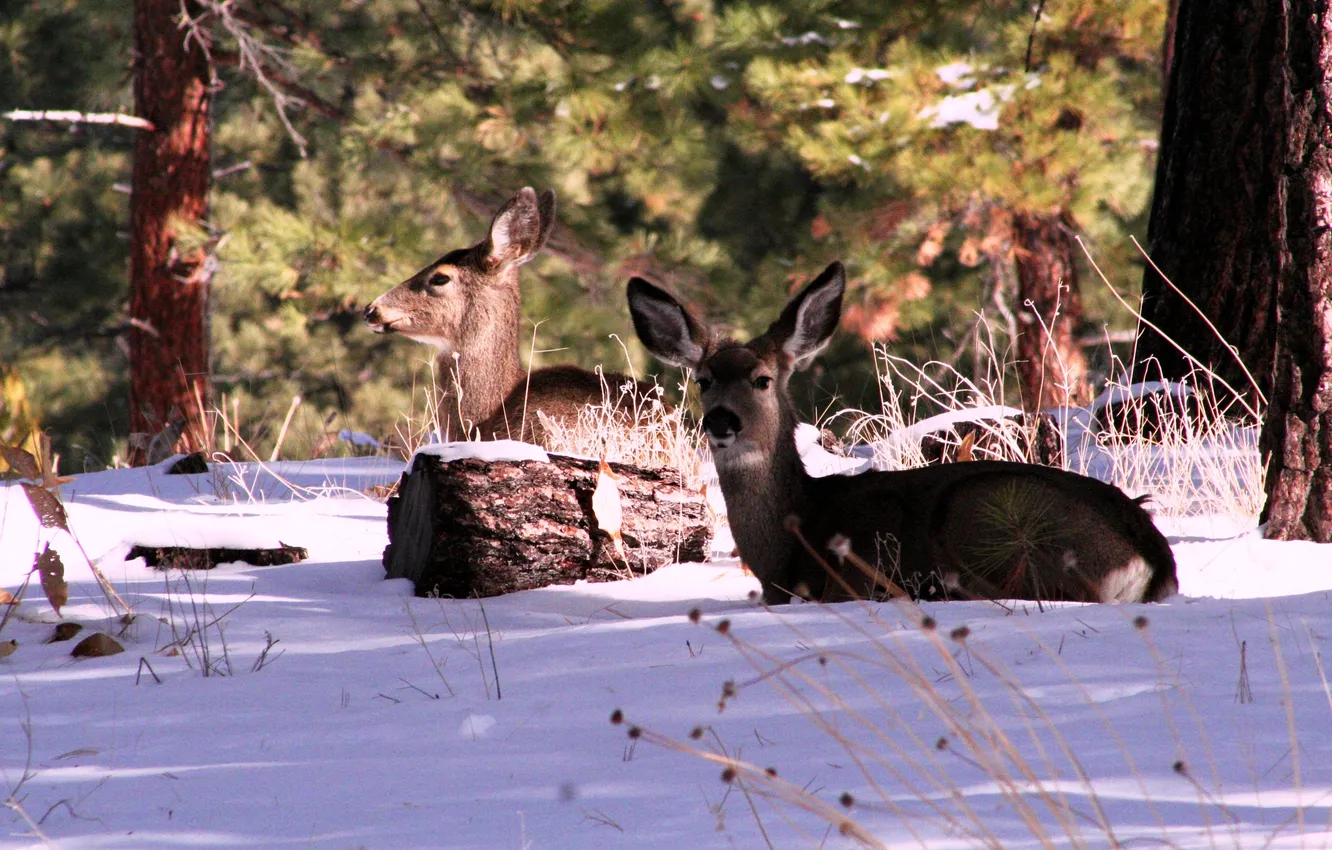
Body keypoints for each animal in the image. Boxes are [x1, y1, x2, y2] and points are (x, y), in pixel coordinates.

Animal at [623, 265, 1177, 607]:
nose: (721, 422)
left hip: (986, 514)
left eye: (761, 379)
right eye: (704, 380)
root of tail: (1151, 558)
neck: (788, 544)